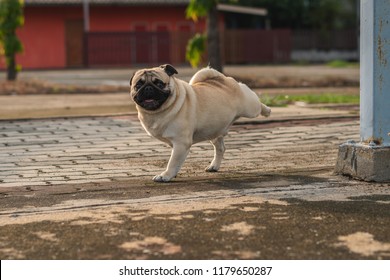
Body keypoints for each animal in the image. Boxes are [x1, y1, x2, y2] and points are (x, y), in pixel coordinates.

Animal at [129, 63, 270, 183]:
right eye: (138, 85)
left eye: (159, 83)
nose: (148, 88)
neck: (157, 112)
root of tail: (222, 79)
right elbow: (175, 161)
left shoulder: (181, 143)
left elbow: (173, 162)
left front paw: (166, 176)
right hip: (214, 130)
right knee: (220, 148)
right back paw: (214, 166)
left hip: (250, 108)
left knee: (257, 104)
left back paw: (267, 110)